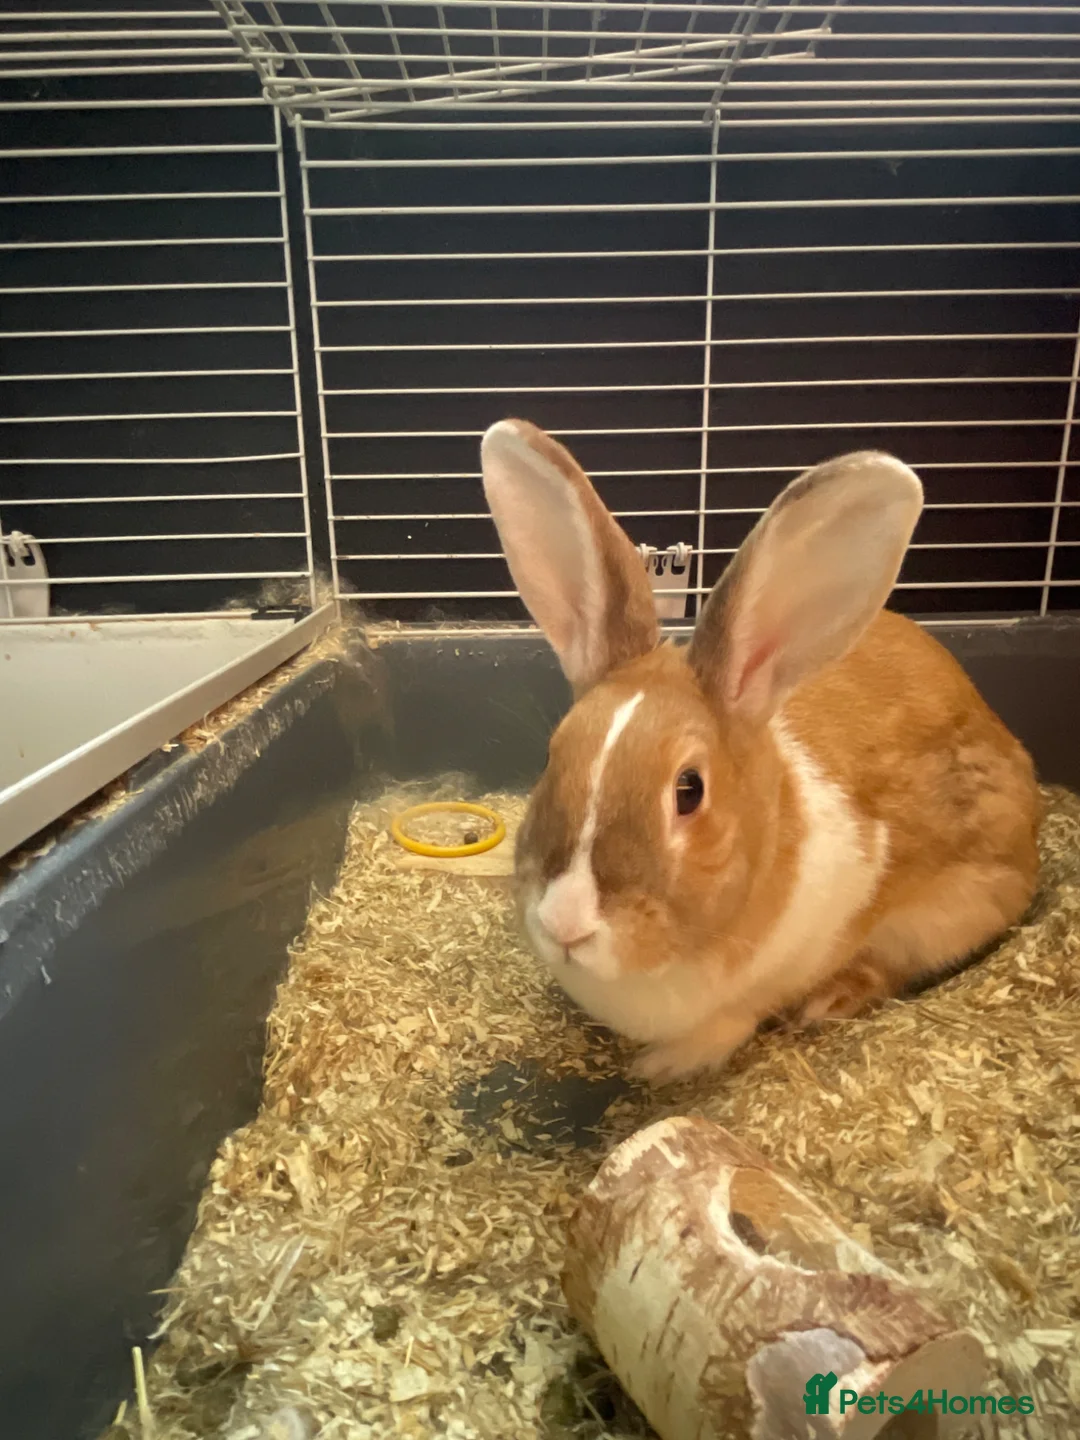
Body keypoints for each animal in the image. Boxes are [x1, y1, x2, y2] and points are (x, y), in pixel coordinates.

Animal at [480, 418, 1041, 1085]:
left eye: (689, 791)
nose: (566, 924)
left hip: (964, 901)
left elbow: (739, 1015)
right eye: (552, 757)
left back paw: (832, 1000)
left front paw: (663, 1063)